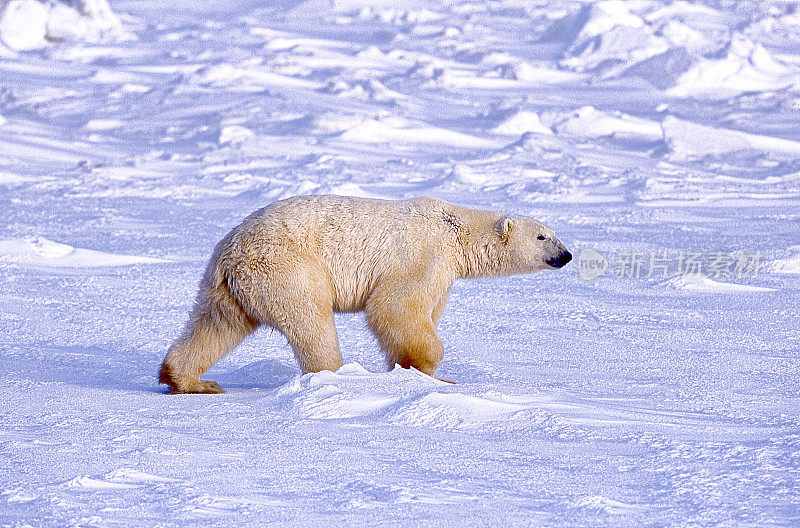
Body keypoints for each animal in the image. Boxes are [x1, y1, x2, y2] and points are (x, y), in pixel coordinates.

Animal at [158, 194, 568, 392]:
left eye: (553, 233)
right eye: (542, 236)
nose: (565, 256)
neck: (454, 231)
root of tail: (229, 253)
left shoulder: (443, 274)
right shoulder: (420, 255)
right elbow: (396, 309)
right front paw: (430, 371)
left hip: (232, 287)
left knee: (216, 325)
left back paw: (190, 380)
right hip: (288, 268)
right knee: (311, 321)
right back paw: (338, 375)